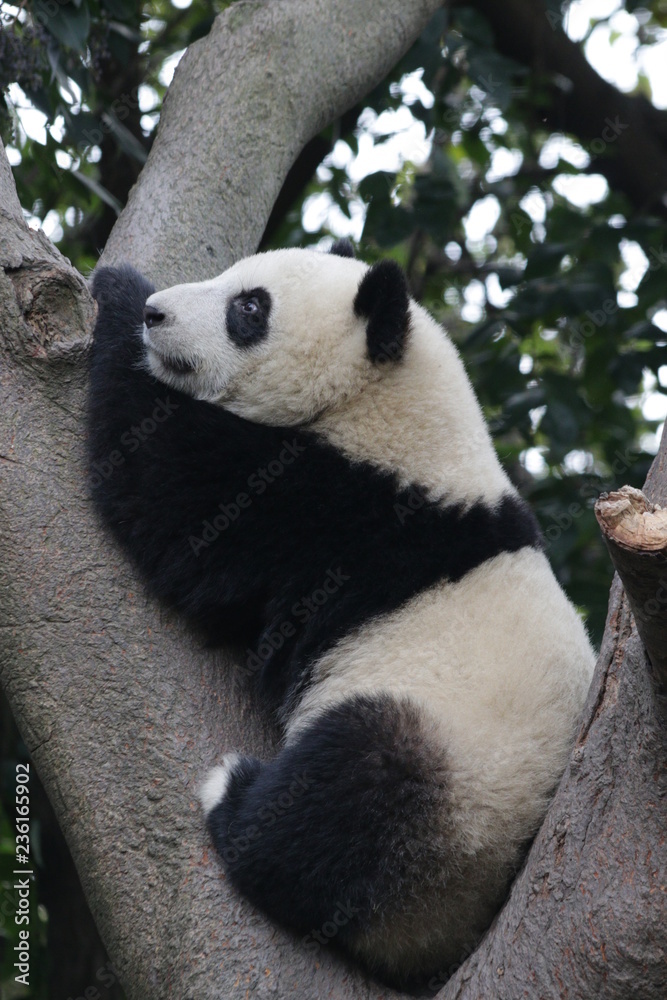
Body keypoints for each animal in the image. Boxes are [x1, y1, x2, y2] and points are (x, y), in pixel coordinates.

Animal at [87, 240, 595, 989]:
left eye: (249, 307)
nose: (159, 315)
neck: (388, 407)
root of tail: (442, 947)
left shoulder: (337, 508)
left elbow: (167, 485)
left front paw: (118, 295)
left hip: (459, 795)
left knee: (357, 785)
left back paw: (236, 799)